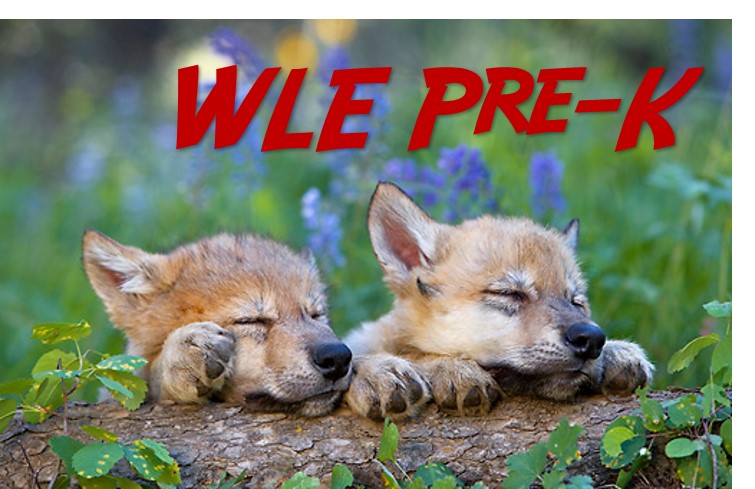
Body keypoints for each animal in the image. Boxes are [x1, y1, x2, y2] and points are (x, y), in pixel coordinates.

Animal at [343, 182, 654, 419]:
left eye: (577, 302)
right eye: (509, 293)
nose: (591, 340)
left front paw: (617, 352)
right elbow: (398, 352)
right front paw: (427, 369)